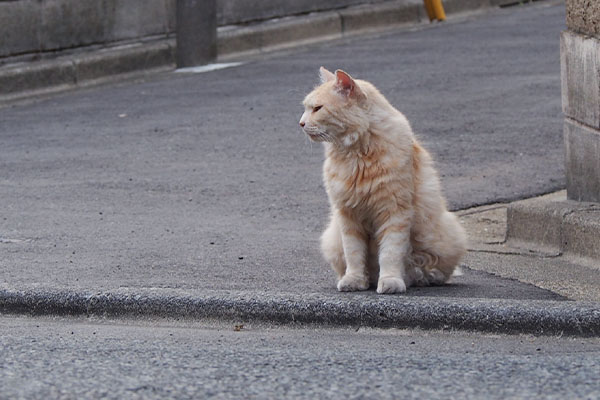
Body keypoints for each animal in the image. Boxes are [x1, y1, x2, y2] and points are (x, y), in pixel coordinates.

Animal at [302, 66, 466, 294]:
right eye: (307, 108)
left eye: (317, 108)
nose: (301, 123)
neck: (358, 154)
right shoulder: (348, 216)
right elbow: (354, 255)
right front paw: (355, 280)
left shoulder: (394, 212)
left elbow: (390, 253)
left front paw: (390, 281)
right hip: (331, 238)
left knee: (430, 268)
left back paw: (419, 278)